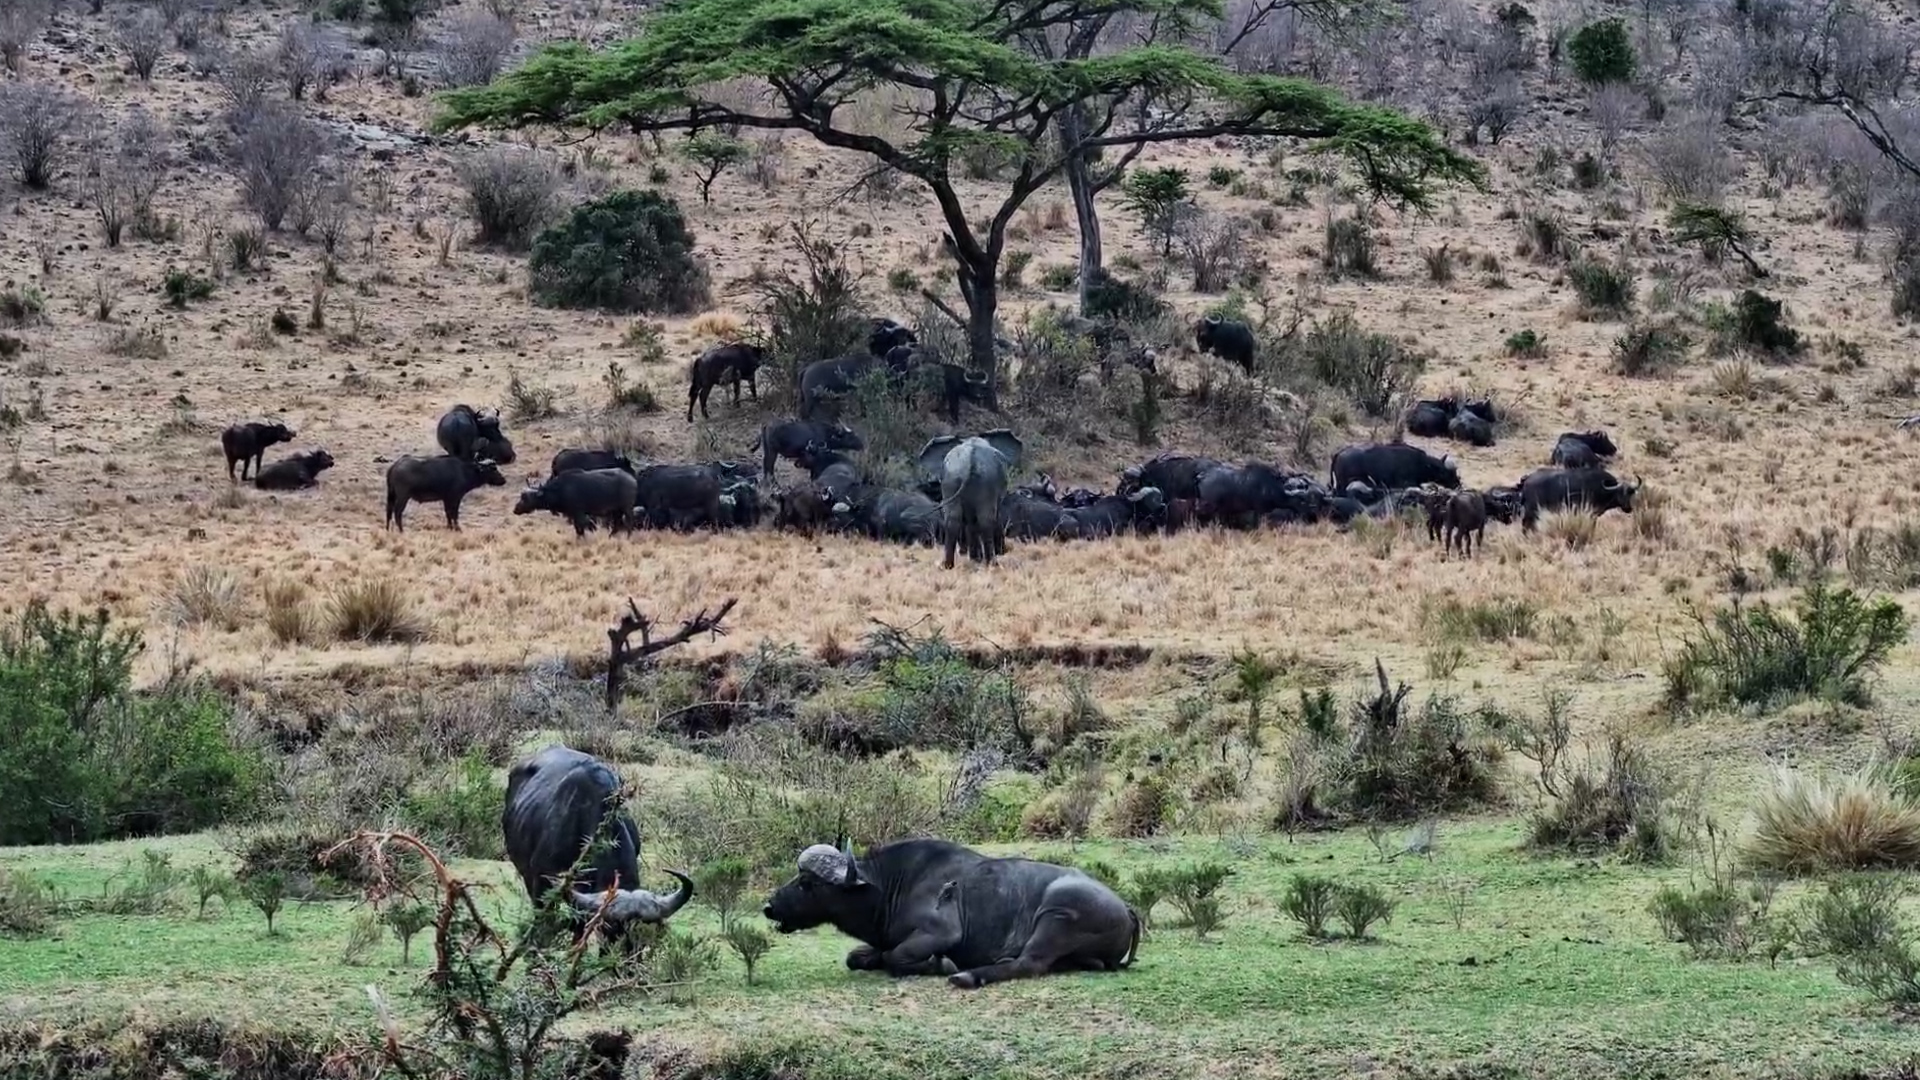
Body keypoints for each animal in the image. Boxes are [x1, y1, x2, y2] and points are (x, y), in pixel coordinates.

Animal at [763, 839, 1138, 989]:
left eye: (807, 882)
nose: (769, 906)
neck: (894, 886)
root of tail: (1126, 908)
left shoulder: (940, 933)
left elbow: (897, 958)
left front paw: (942, 964)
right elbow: (857, 957)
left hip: (1056, 912)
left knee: (1030, 963)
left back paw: (967, 976)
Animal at [916, 430, 1024, 570]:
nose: (1006, 550)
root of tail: (970, 461)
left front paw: (975, 559)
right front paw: (996, 553)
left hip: (951, 480)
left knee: (952, 519)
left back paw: (947, 565)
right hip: (985, 481)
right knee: (986, 520)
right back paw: (992, 564)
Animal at [1330, 442, 1460, 492]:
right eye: (1443, 472)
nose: (1457, 484)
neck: (1420, 463)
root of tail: (1339, 453)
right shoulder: (1407, 484)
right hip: (1343, 483)